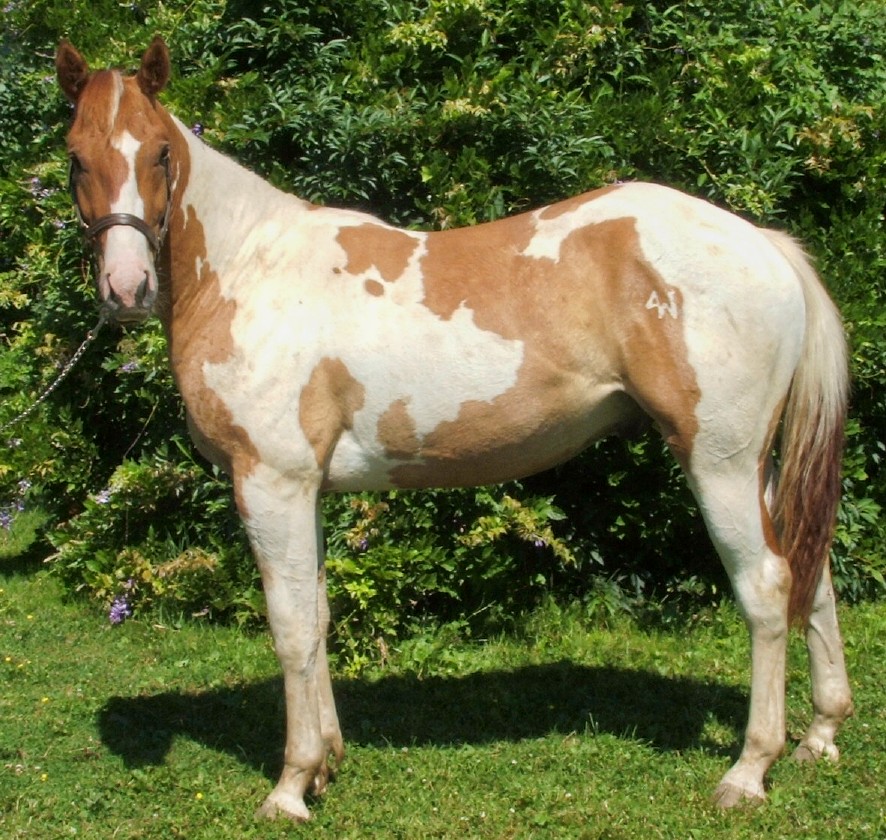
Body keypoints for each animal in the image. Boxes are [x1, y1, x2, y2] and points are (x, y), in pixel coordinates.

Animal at [55, 37, 853, 821]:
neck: (250, 270)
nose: (126, 290)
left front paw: (291, 784)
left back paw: (749, 770)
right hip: (757, 464)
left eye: (160, 152)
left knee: (766, 586)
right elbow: (318, 617)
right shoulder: (305, 491)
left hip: (719, 461)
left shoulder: (272, 482)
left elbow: (290, 627)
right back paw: (820, 735)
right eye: (75, 156)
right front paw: (328, 763)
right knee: (809, 570)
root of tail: (763, 244)